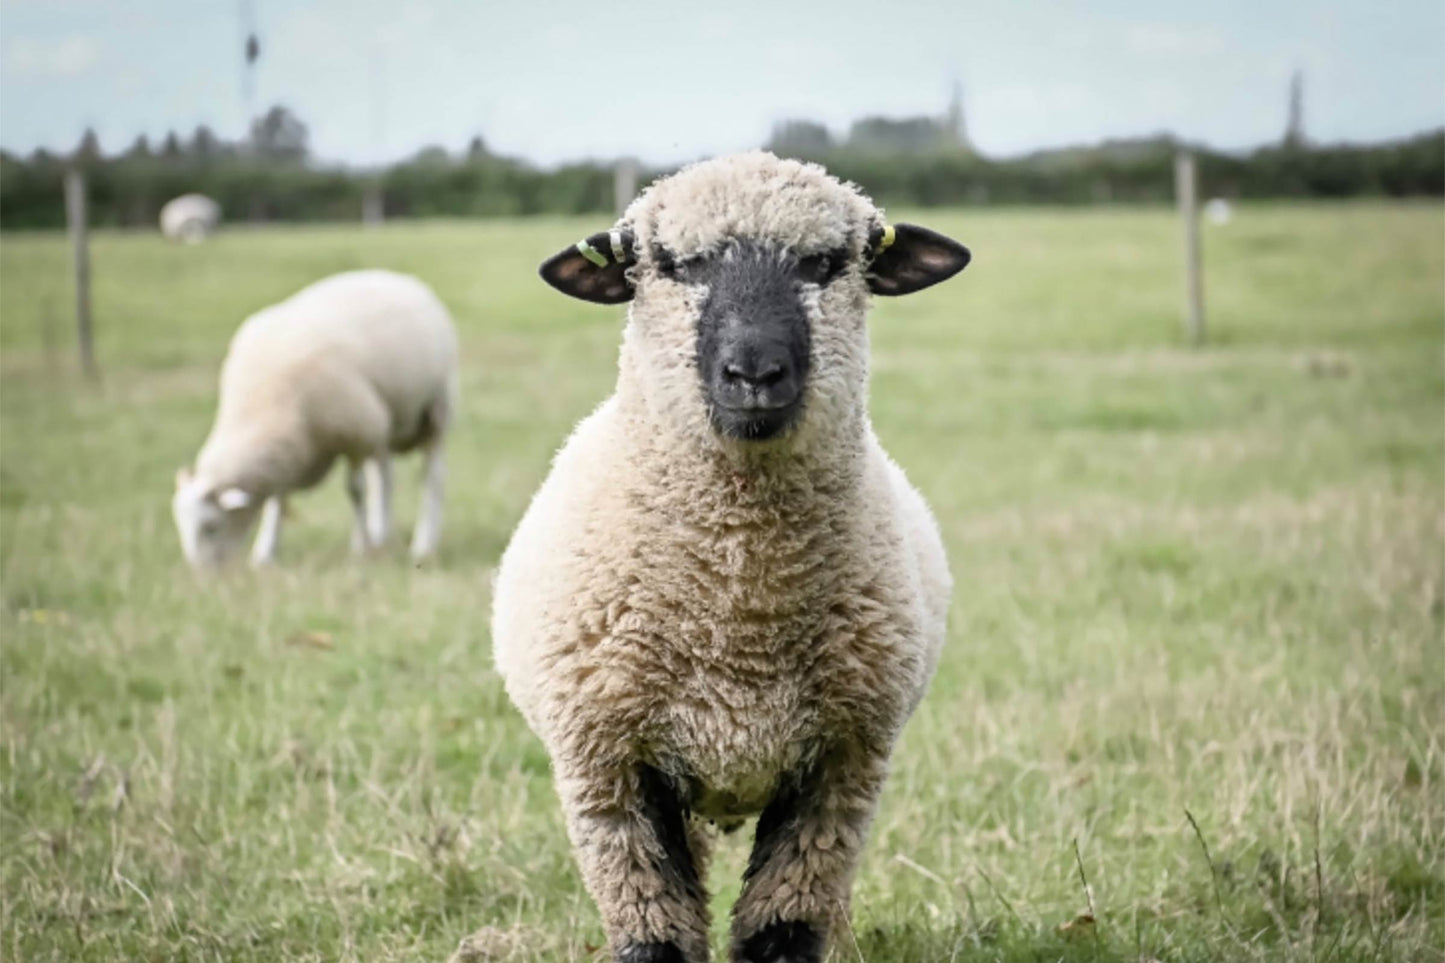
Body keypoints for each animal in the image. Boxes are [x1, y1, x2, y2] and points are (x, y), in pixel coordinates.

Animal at [172, 269, 457, 569]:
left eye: (211, 526)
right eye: (180, 525)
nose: (201, 572)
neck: (265, 402)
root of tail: (396, 276)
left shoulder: (354, 434)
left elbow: (355, 491)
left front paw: (361, 548)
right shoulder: (291, 452)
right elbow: (277, 500)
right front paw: (265, 554)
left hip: (434, 410)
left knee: (432, 475)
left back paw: (422, 544)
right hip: (384, 424)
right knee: (383, 478)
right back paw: (381, 534)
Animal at [491, 151, 971, 963]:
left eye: (824, 263)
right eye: (672, 264)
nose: (754, 374)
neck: (739, 609)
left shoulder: (842, 765)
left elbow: (783, 930)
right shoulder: (607, 769)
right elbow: (656, 937)